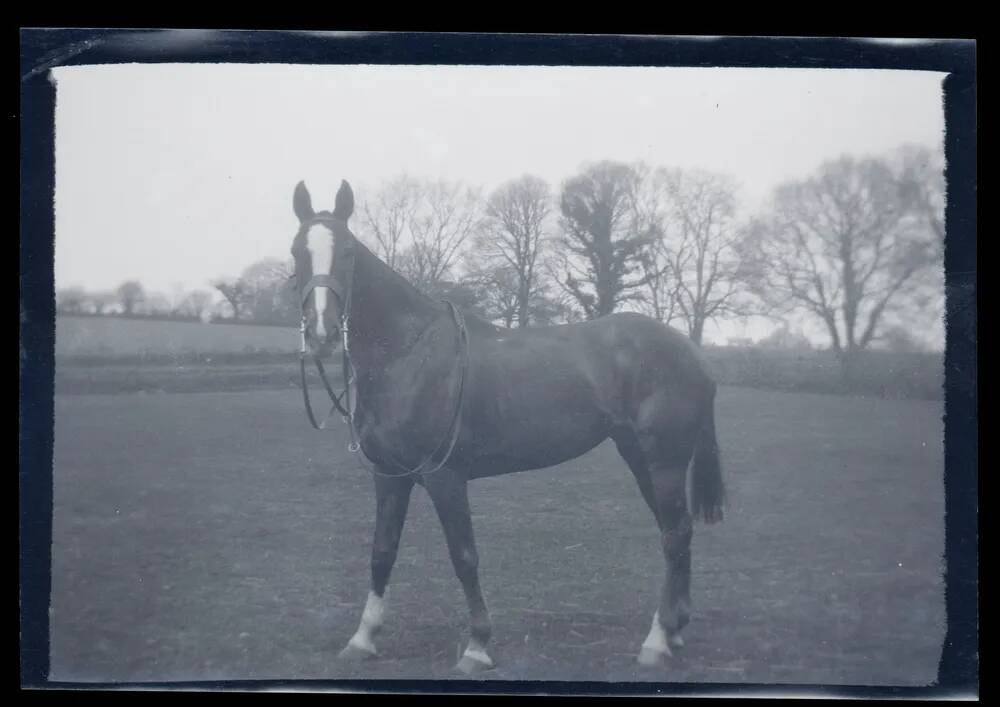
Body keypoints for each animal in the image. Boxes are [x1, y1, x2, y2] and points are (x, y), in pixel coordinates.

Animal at [292, 178, 728, 676]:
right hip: (640, 457)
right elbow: (382, 553)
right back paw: (673, 632)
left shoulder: (445, 478)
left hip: (665, 461)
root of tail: (692, 352)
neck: (409, 353)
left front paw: (477, 646)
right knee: (675, 532)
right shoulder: (389, 477)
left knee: (674, 535)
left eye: (346, 252)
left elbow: (464, 557)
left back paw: (656, 640)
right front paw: (363, 639)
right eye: (297, 252)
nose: (322, 333)